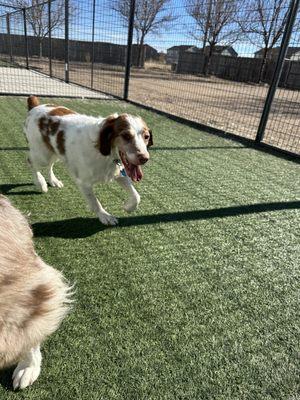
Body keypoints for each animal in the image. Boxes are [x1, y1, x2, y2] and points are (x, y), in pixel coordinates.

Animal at [24, 94, 154, 225]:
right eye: (126, 136)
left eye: (147, 136)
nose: (144, 158)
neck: (105, 153)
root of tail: (35, 107)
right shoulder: (84, 182)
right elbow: (95, 202)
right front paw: (105, 216)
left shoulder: (119, 173)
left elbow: (136, 196)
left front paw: (128, 207)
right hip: (42, 155)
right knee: (31, 162)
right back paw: (40, 183)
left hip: (53, 151)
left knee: (49, 165)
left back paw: (53, 181)